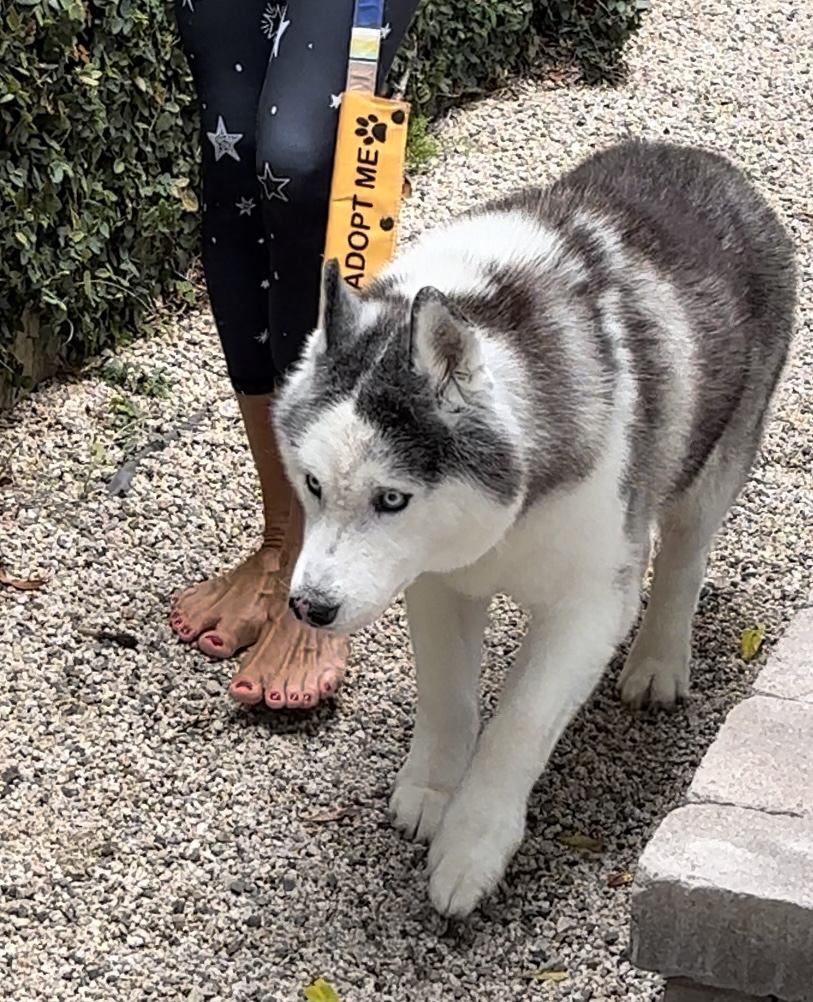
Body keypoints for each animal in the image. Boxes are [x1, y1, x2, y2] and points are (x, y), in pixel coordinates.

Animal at [272, 141, 793, 917]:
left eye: (391, 499)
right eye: (311, 484)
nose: (310, 608)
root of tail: (699, 159)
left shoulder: (589, 603)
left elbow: (518, 723)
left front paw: (472, 845)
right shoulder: (437, 577)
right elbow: (447, 696)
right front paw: (433, 789)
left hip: (716, 457)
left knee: (683, 553)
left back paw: (658, 659)